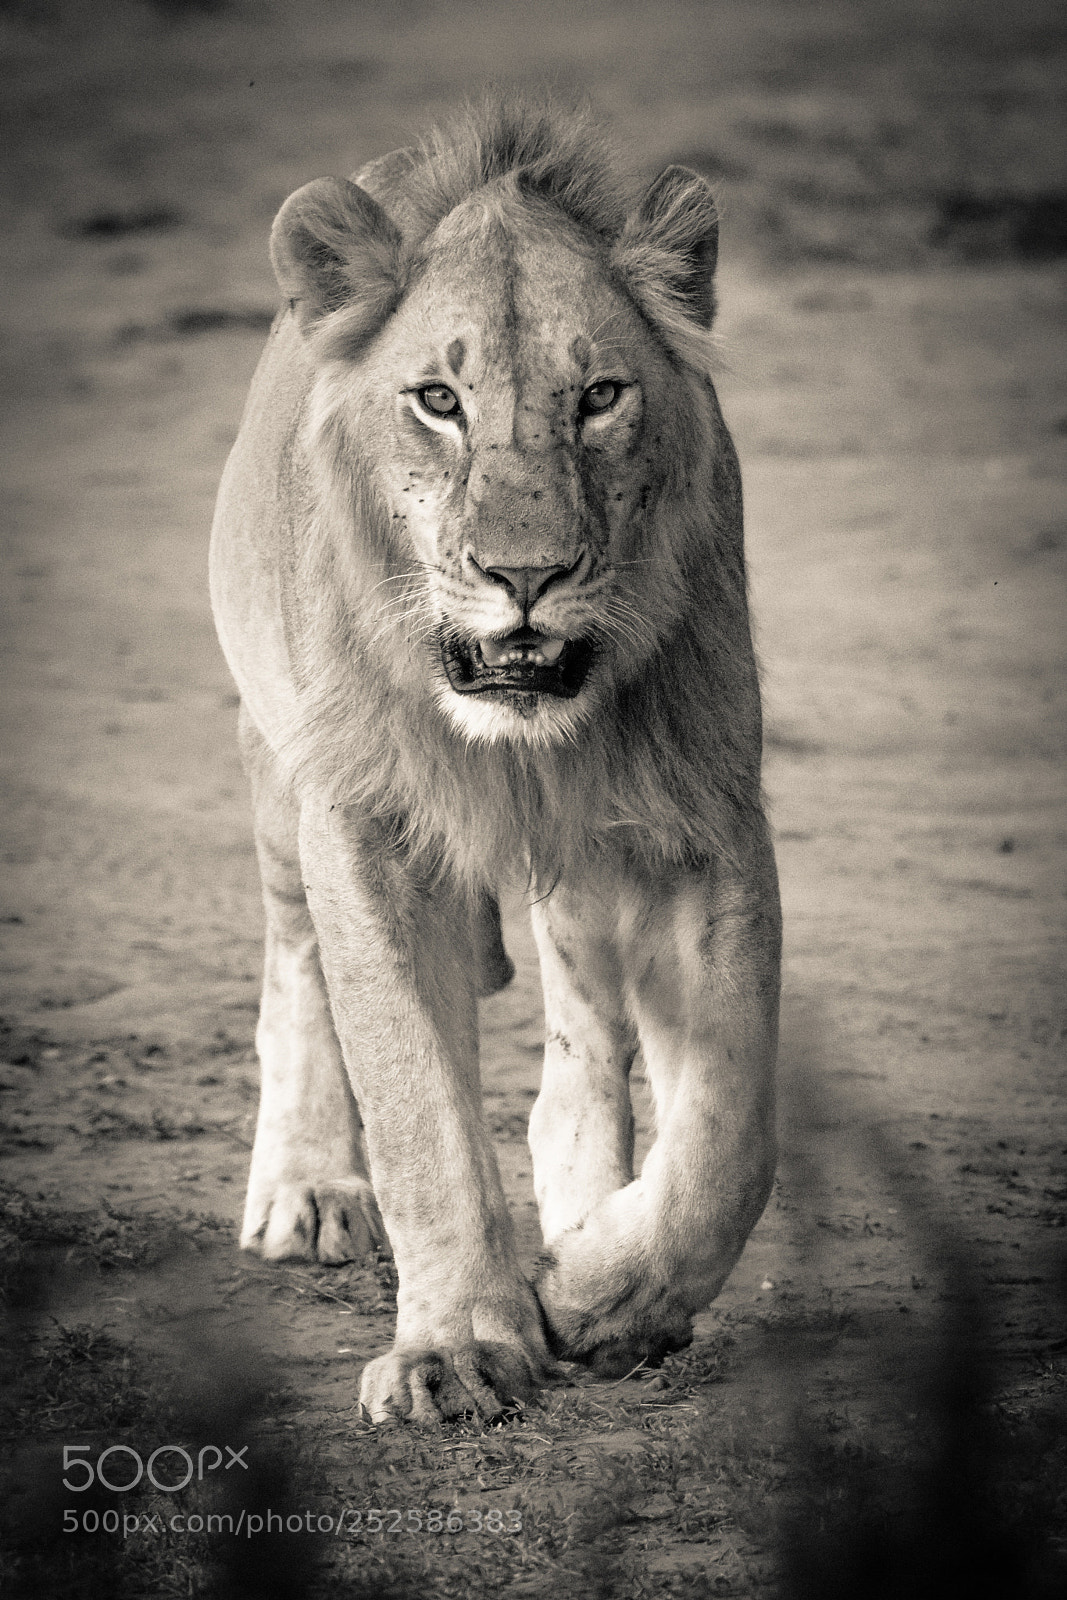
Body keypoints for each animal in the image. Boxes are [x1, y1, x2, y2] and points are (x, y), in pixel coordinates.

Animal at [210, 96, 781, 1425]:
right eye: (436, 398)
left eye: (600, 395)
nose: (525, 576)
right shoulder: (364, 823)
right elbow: (415, 1100)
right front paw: (458, 1347)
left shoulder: (704, 818)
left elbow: (730, 1128)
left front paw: (608, 1297)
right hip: (275, 762)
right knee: (293, 962)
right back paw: (308, 1188)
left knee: (578, 1041)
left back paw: (584, 1222)